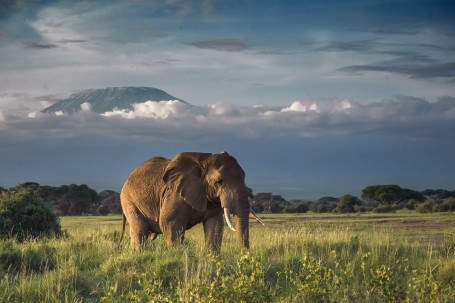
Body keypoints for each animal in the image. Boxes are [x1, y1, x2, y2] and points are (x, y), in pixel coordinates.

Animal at [119, 152, 266, 254]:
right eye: (219, 182)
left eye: (244, 177)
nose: (245, 255)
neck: (203, 161)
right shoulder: (175, 194)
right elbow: (170, 223)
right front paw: (176, 257)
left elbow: (215, 225)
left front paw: (212, 260)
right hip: (128, 200)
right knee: (140, 231)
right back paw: (137, 254)